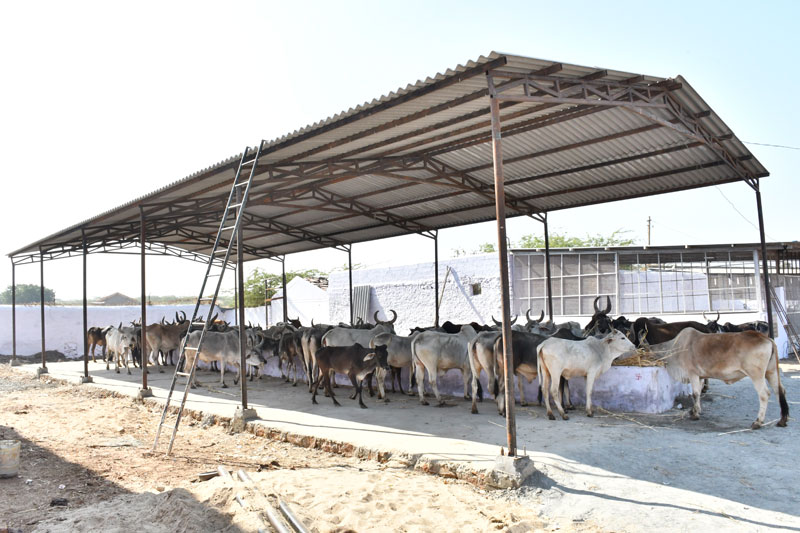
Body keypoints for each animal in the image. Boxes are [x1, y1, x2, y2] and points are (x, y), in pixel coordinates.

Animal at [649, 329, 788, 429]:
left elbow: (695, 394)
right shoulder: (701, 376)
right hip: (771, 372)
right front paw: (695, 410)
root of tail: (766, 338)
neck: (675, 347)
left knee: (764, 394)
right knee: (779, 391)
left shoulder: (693, 374)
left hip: (756, 375)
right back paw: (782, 420)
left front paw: (695, 414)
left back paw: (758, 422)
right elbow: (698, 394)